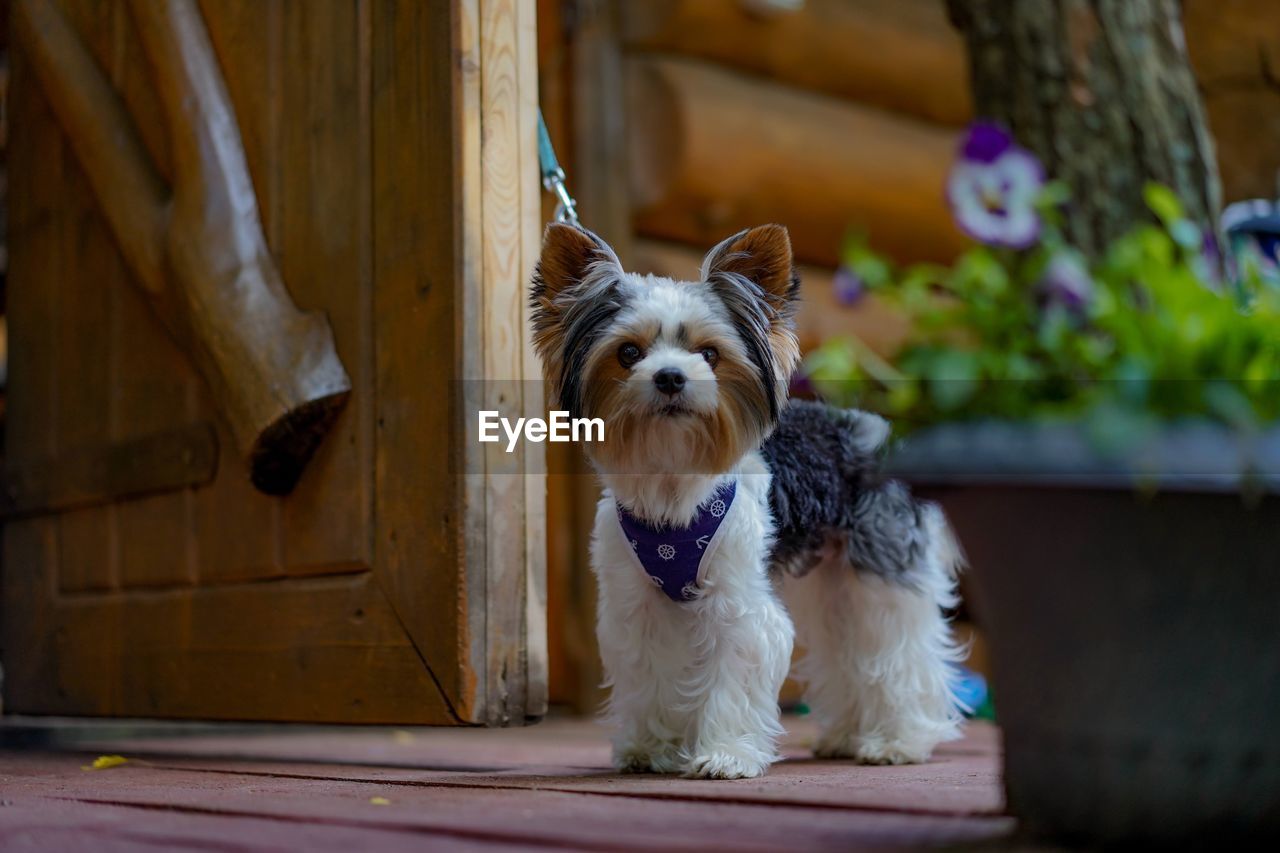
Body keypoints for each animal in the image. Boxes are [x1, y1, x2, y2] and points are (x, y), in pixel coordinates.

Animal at [527, 220, 962, 778]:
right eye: (628, 353)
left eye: (710, 354)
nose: (671, 376)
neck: (673, 484)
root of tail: (880, 436)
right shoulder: (637, 605)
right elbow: (649, 672)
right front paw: (651, 748)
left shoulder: (737, 603)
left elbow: (734, 670)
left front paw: (724, 755)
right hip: (833, 582)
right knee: (844, 648)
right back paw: (846, 736)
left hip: (879, 569)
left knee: (895, 649)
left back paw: (897, 741)